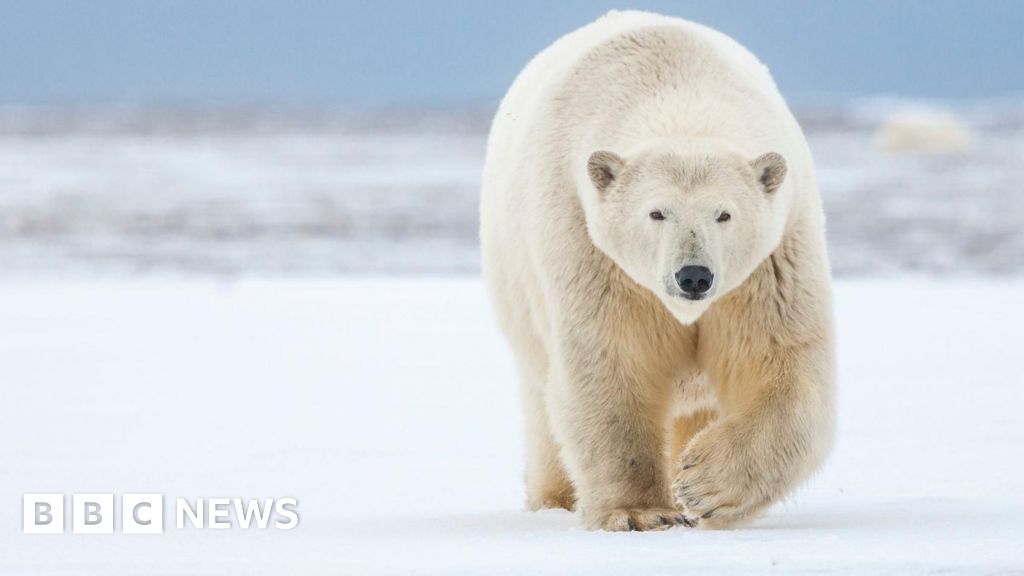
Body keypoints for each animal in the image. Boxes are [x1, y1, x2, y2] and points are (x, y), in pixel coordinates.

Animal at [479, 10, 831, 528]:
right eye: (656, 212)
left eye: (724, 214)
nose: (694, 276)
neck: (677, 91)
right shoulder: (590, 248)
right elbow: (611, 362)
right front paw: (638, 512)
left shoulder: (772, 262)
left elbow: (781, 361)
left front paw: (702, 485)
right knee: (543, 407)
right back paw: (555, 498)